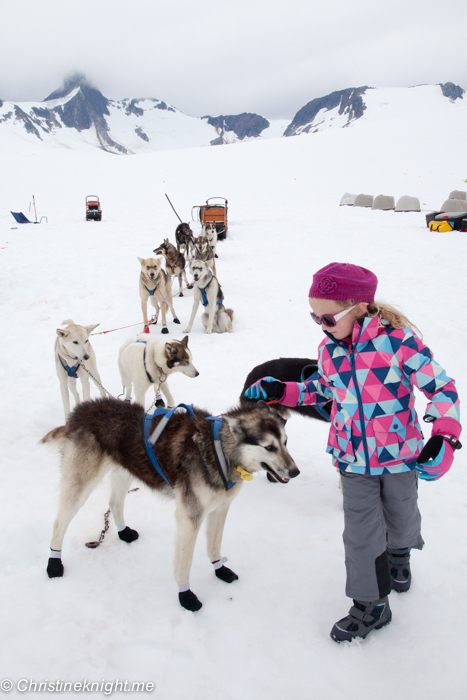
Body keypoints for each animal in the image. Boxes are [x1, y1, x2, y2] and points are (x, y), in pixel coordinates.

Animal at [44, 400, 300, 612]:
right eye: (269, 447)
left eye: (286, 443)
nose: (295, 471)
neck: (219, 450)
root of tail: (82, 409)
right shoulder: (190, 517)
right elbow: (184, 564)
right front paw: (185, 595)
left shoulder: (220, 509)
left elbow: (214, 547)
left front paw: (220, 569)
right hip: (80, 486)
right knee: (58, 523)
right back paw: (54, 563)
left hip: (126, 471)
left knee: (114, 501)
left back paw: (123, 532)